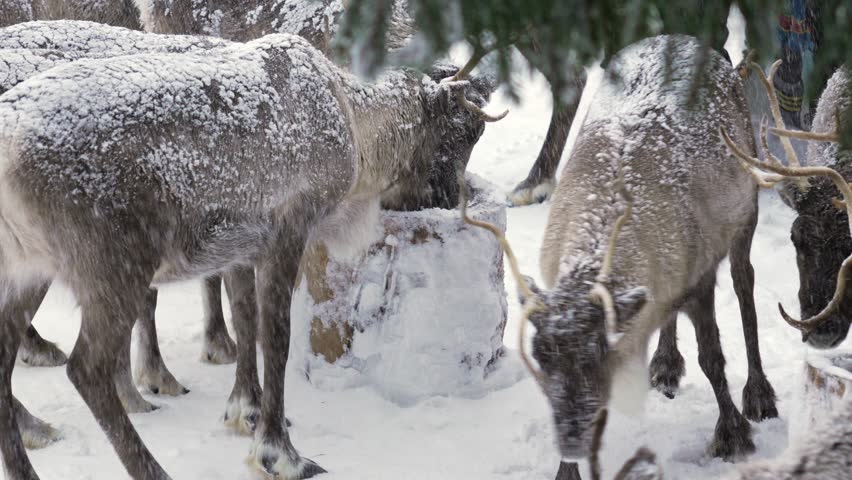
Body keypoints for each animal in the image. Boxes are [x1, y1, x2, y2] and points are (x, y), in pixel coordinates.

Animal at [0, 30, 498, 479]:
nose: (445, 199)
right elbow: (274, 337)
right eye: (453, 133)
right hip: (114, 263)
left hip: (28, 267)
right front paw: (280, 452)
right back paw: (152, 469)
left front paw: (247, 411)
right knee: (86, 368)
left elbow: (244, 320)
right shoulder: (289, 229)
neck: (356, 124)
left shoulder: (238, 248)